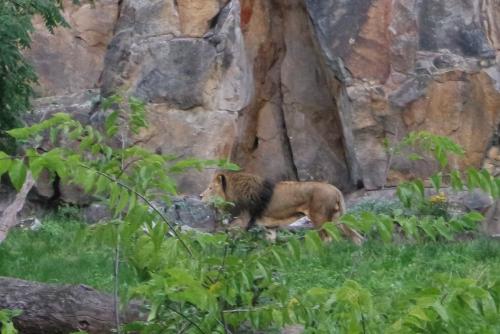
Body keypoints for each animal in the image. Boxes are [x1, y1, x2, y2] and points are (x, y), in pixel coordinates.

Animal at [199, 172, 364, 245]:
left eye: (210, 188)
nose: (200, 196)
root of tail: (335, 189)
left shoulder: (241, 222)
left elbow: (231, 240)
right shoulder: (269, 227)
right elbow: (269, 245)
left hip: (319, 218)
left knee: (327, 239)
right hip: (337, 218)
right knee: (356, 236)